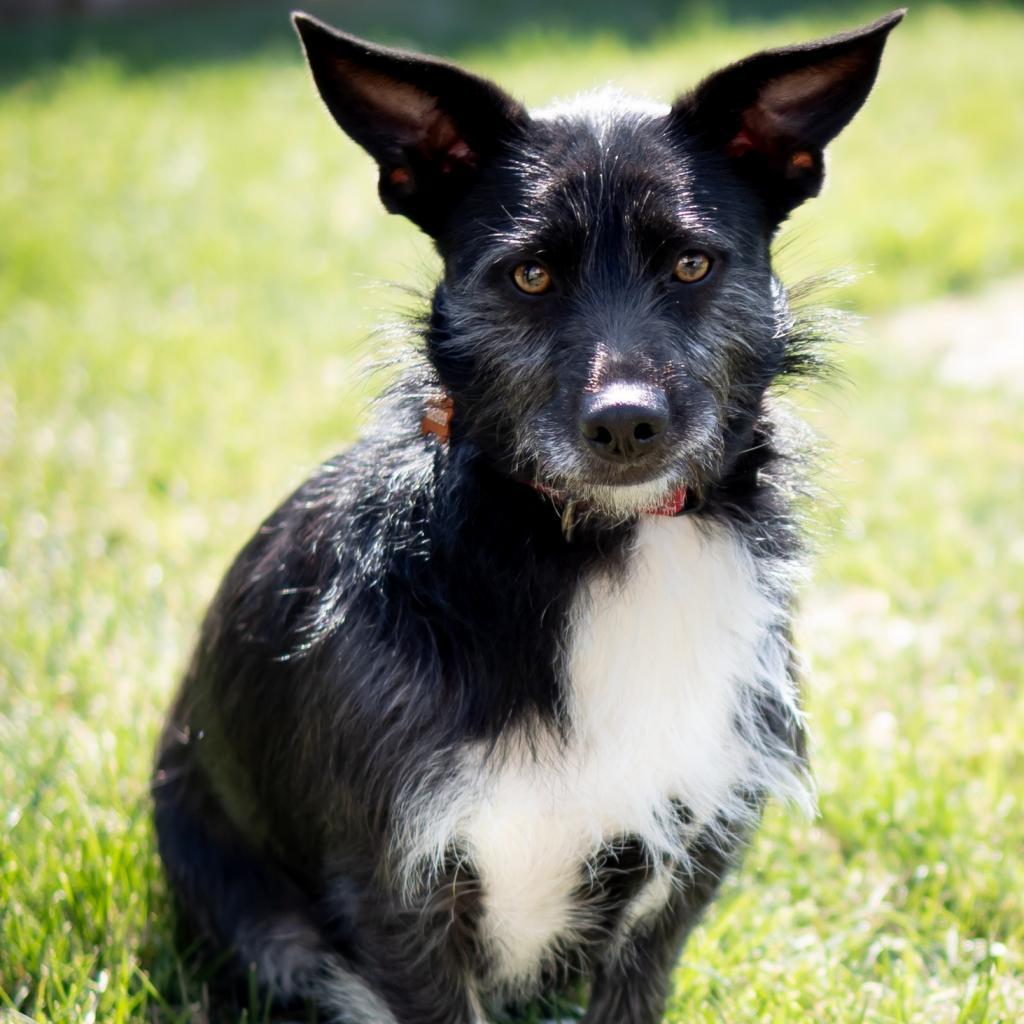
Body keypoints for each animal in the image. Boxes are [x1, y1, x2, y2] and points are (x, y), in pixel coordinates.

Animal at [151, 9, 905, 1024]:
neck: (600, 542)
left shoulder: (683, 864)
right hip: (265, 925)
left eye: (692, 263)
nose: (625, 422)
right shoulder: (396, 890)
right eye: (532, 275)